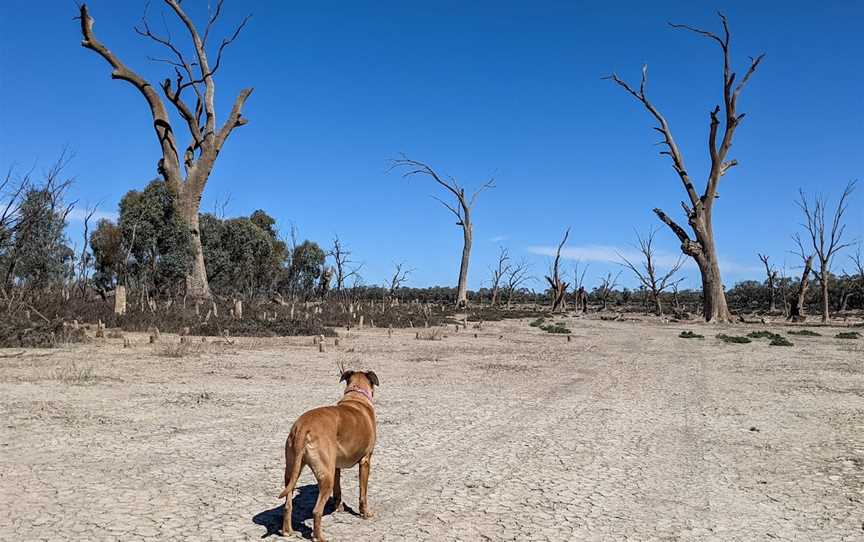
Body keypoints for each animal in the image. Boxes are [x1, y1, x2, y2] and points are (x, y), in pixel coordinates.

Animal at [280, 372, 378, 540]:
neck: (356, 397)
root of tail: (303, 426)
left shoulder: (336, 467)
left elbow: (338, 491)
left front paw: (339, 508)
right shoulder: (365, 461)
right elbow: (363, 493)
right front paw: (365, 513)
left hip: (292, 471)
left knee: (288, 504)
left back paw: (287, 531)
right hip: (326, 476)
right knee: (316, 511)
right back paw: (319, 537)